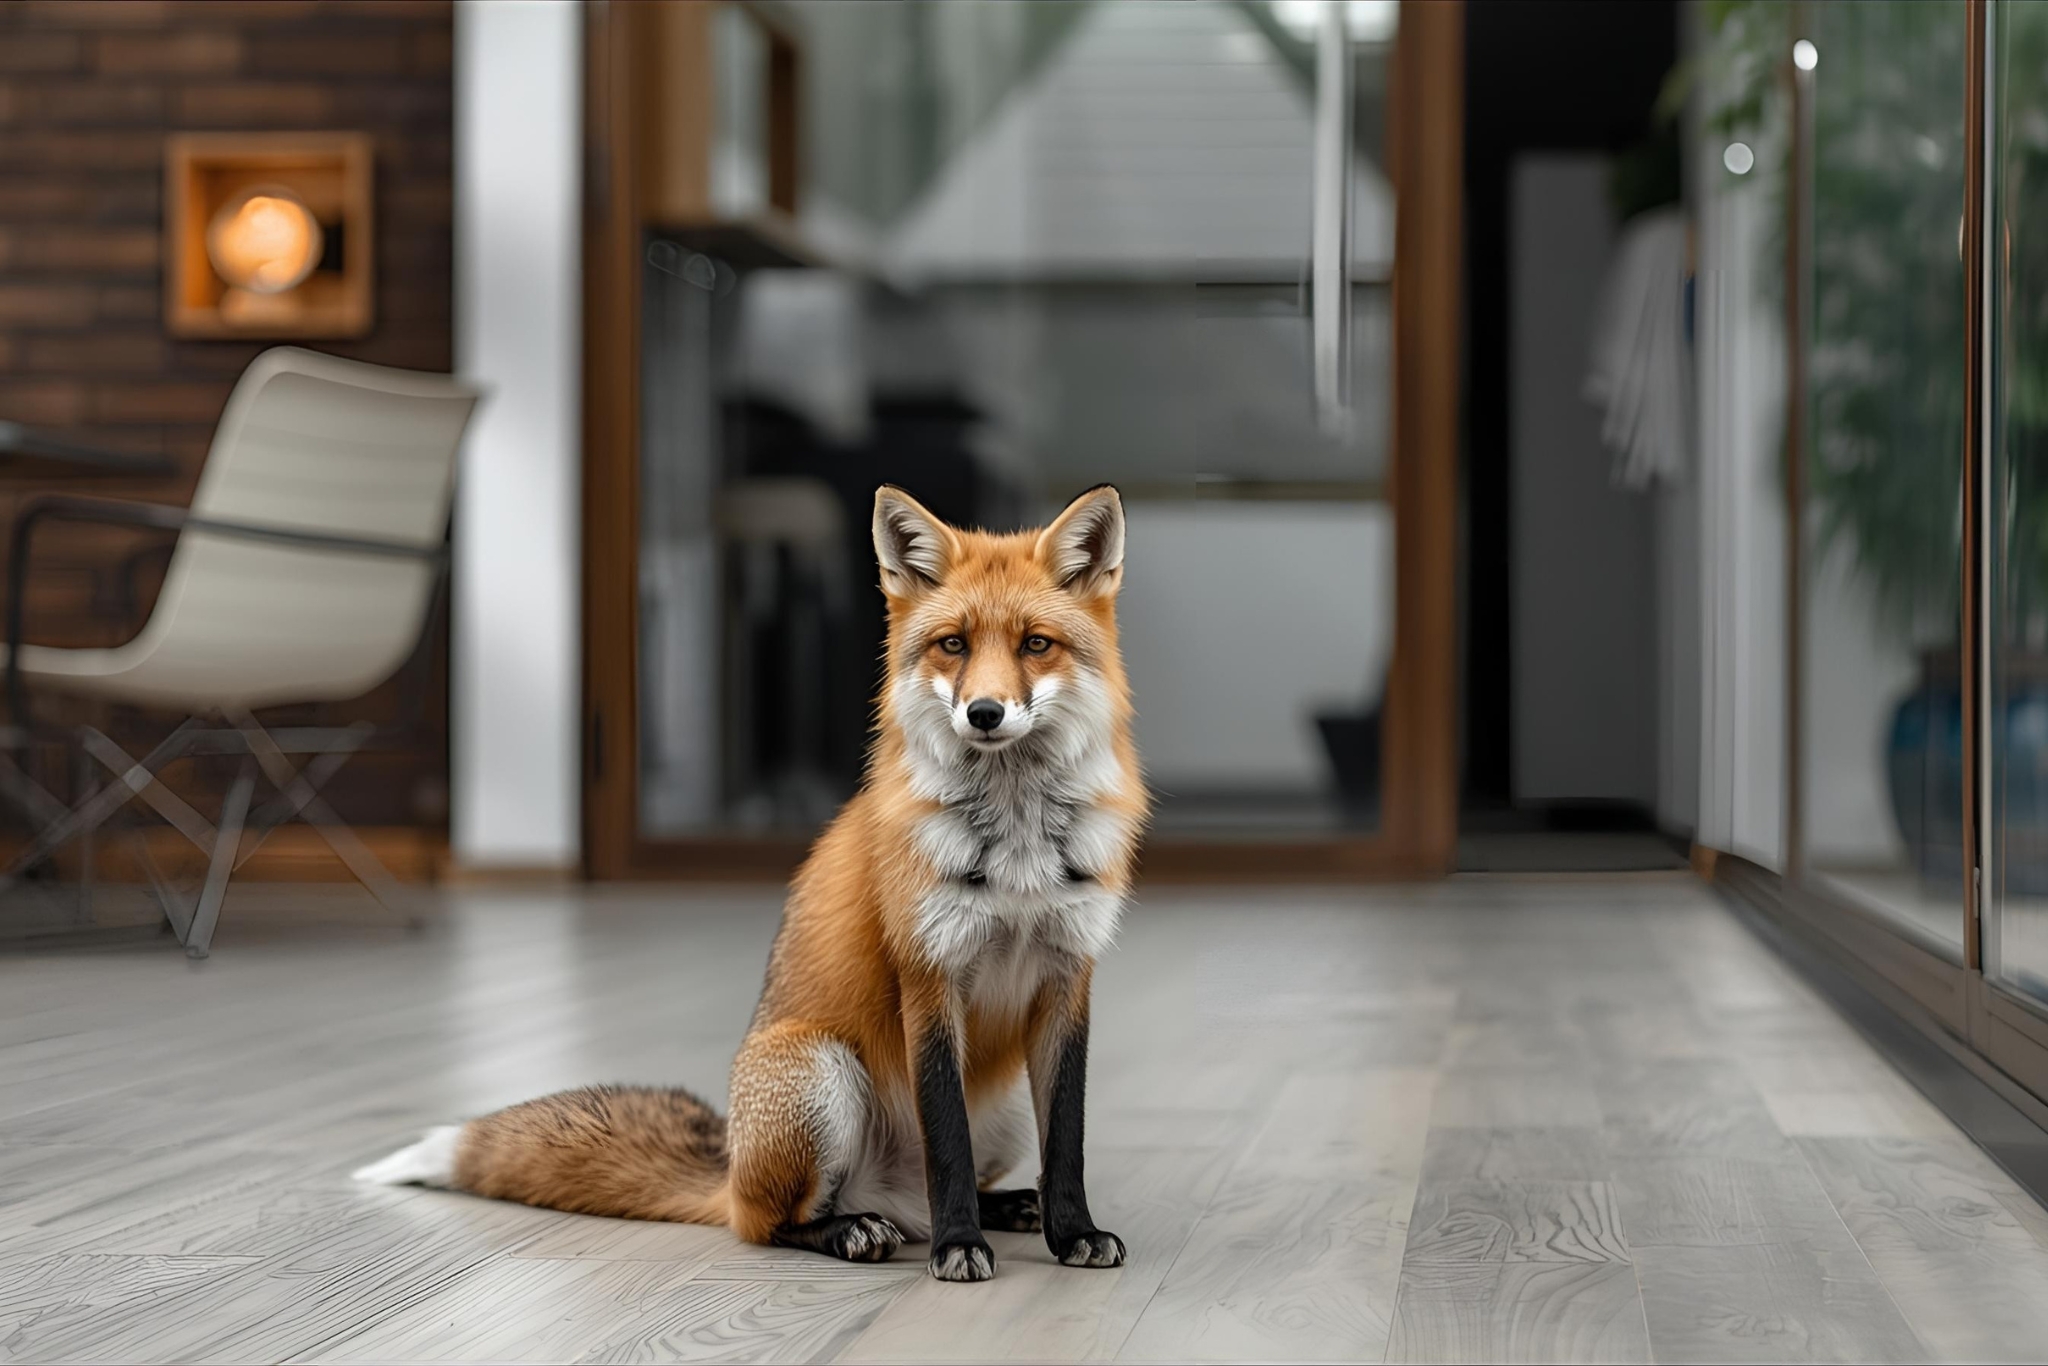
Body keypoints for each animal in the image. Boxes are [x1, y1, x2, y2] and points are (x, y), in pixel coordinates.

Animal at [356, 484, 1147, 1282]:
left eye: (1035, 644)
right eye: (953, 644)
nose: (983, 714)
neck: (1016, 851)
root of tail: (731, 1167)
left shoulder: (1068, 975)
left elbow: (1067, 1141)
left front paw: (1073, 1232)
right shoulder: (929, 978)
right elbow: (946, 1143)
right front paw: (961, 1248)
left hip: (1002, 1102)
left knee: (927, 1189)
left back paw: (1007, 1207)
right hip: (821, 1076)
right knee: (775, 1223)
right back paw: (863, 1230)